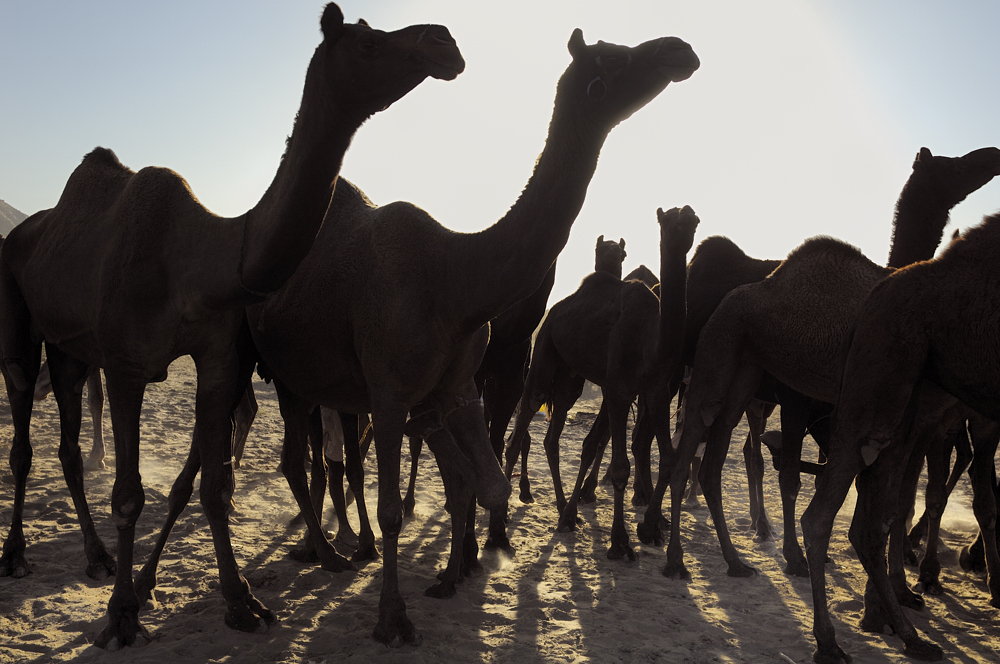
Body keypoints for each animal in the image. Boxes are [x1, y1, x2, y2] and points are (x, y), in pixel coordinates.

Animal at [0, 4, 465, 649]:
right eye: (367, 41)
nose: (444, 41)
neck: (207, 258)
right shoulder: (126, 363)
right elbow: (128, 495)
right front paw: (121, 616)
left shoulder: (219, 354)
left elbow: (216, 486)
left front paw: (242, 602)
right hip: (17, 305)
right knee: (22, 415)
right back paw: (17, 554)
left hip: (71, 347)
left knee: (67, 442)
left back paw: (94, 556)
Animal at [505, 205, 699, 559]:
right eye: (669, 218)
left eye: (691, 215)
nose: (688, 214)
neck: (651, 340)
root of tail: (557, 309)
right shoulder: (619, 388)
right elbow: (619, 466)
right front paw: (620, 542)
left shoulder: (657, 389)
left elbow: (668, 458)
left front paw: (652, 529)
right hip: (545, 347)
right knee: (528, 409)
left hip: (570, 378)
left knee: (553, 432)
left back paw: (564, 512)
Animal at [636, 146, 1000, 580]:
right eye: (952, 165)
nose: (990, 156)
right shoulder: (804, 397)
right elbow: (795, 478)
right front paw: (798, 557)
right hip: (695, 367)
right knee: (674, 437)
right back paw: (660, 537)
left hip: (742, 382)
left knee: (714, 455)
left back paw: (735, 552)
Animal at [801, 210, 1000, 663]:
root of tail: (868, 304)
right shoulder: (975, 421)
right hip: (880, 394)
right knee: (826, 515)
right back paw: (833, 642)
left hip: (903, 411)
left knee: (874, 520)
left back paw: (906, 631)